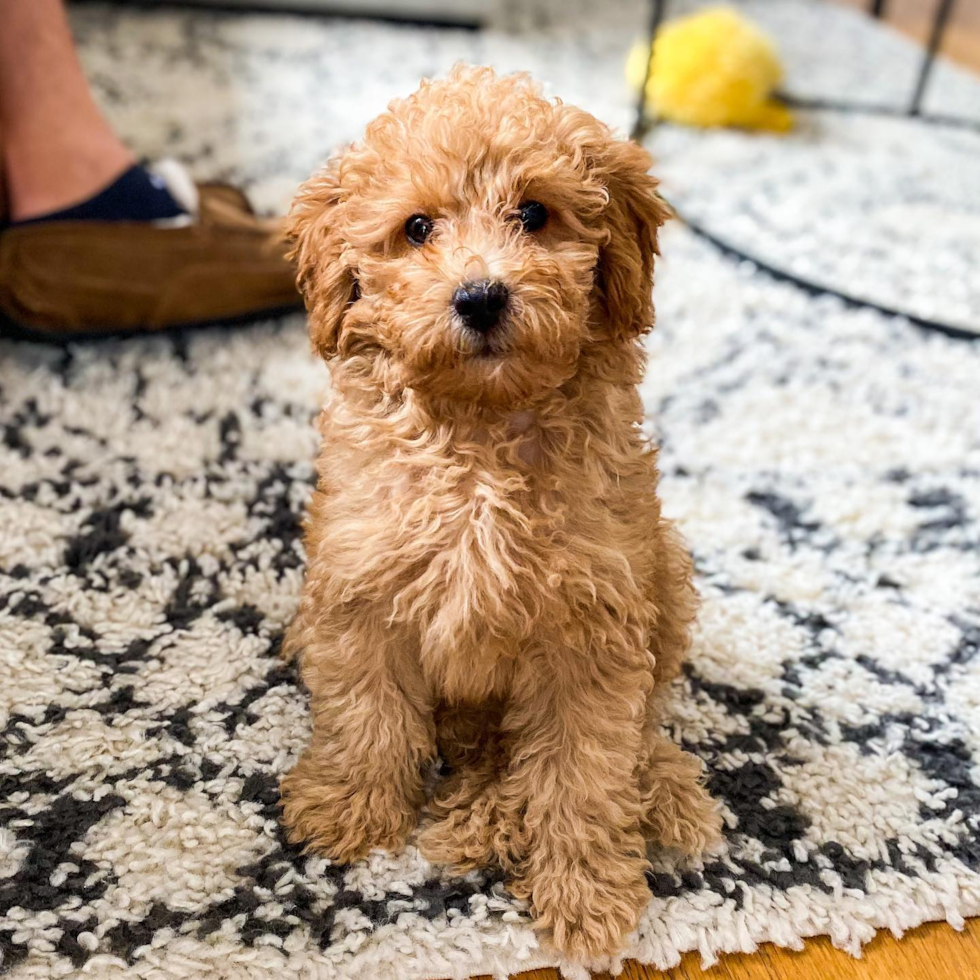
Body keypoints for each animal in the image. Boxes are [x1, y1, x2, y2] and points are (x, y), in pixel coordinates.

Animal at [278, 65, 720, 960]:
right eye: (416, 228)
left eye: (535, 213)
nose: (481, 297)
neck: (480, 438)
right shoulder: (361, 589)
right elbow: (366, 713)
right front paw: (351, 809)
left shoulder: (591, 628)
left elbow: (583, 769)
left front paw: (585, 892)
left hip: (665, 575)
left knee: (635, 733)